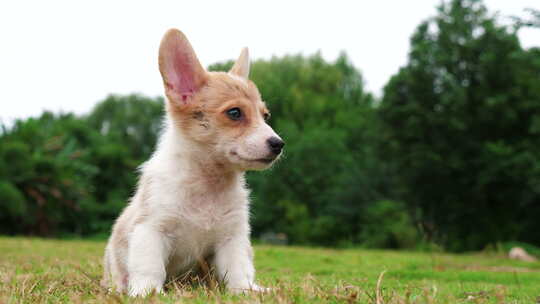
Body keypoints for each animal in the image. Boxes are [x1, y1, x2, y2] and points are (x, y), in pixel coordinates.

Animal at [103, 29, 284, 296]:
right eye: (235, 113)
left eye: (265, 116)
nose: (278, 144)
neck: (207, 181)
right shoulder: (151, 229)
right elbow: (150, 268)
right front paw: (148, 293)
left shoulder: (232, 237)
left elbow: (238, 271)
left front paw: (245, 292)